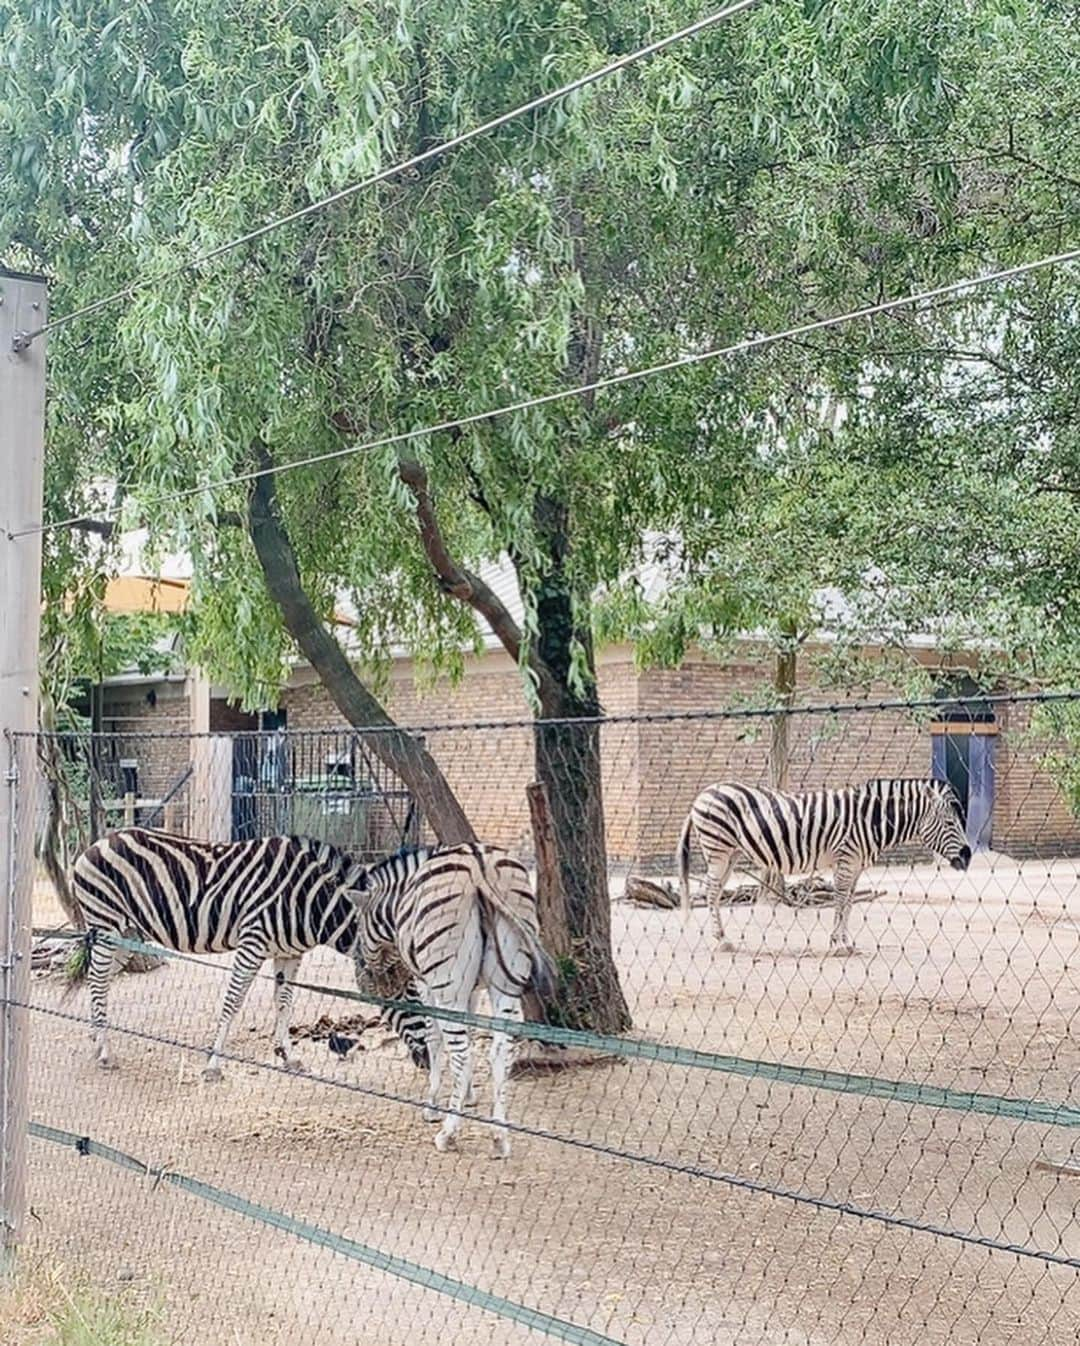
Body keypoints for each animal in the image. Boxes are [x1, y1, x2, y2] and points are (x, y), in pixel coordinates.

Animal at [69, 823, 430, 1076]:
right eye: (407, 998)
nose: (427, 1061)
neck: (310, 902)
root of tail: (95, 843)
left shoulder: (289, 952)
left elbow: (284, 1002)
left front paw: (287, 1056)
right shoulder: (252, 944)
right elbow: (233, 1002)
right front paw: (213, 1064)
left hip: (126, 934)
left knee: (100, 981)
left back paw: (96, 1038)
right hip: (106, 924)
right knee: (98, 981)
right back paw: (104, 1052)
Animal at [347, 845, 554, 1152]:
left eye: (359, 925)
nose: (368, 971)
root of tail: (479, 863)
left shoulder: (427, 985)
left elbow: (434, 1039)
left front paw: (433, 1104)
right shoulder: (473, 990)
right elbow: (468, 1033)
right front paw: (466, 1095)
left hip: (448, 986)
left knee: (462, 1053)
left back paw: (449, 1133)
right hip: (506, 983)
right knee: (499, 1051)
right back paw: (500, 1135)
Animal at [673, 780, 969, 958]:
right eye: (950, 823)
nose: (967, 856)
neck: (870, 820)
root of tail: (702, 795)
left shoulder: (856, 865)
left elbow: (848, 903)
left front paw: (847, 943)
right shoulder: (846, 860)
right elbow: (839, 902)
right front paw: (838, 944)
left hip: (730, 854)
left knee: (714, 892)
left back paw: (722, 938)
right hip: (718, 850)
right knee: (711, 892)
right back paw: (722, 940)